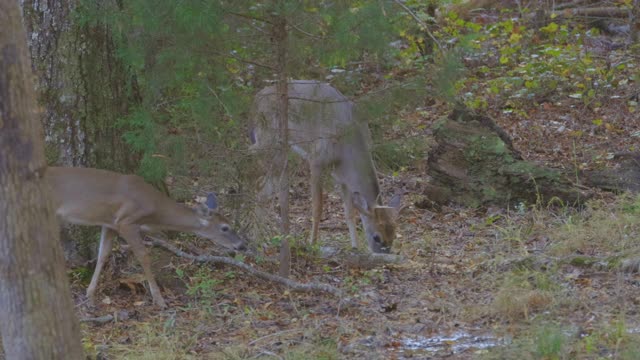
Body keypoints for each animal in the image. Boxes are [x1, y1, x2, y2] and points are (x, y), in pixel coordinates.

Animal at [45, 167, 248, 308]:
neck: (155, 213)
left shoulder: (110, 223)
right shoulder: (126, 222)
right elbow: (144, 257)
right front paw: (159, 300)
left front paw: (90, 297)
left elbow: (103, 254)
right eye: (225, 228)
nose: (242, 245)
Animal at [249, 80, 400, 253]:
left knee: (263, 189)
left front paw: (355, 247)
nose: (385, 255)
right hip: (268, 139)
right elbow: (317, 206)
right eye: (377, 237)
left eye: (393, 236)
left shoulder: (341, 177)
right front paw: (312, 244)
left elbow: (349, 212)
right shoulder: (316, 159)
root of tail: (256, 99)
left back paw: (260, 240)